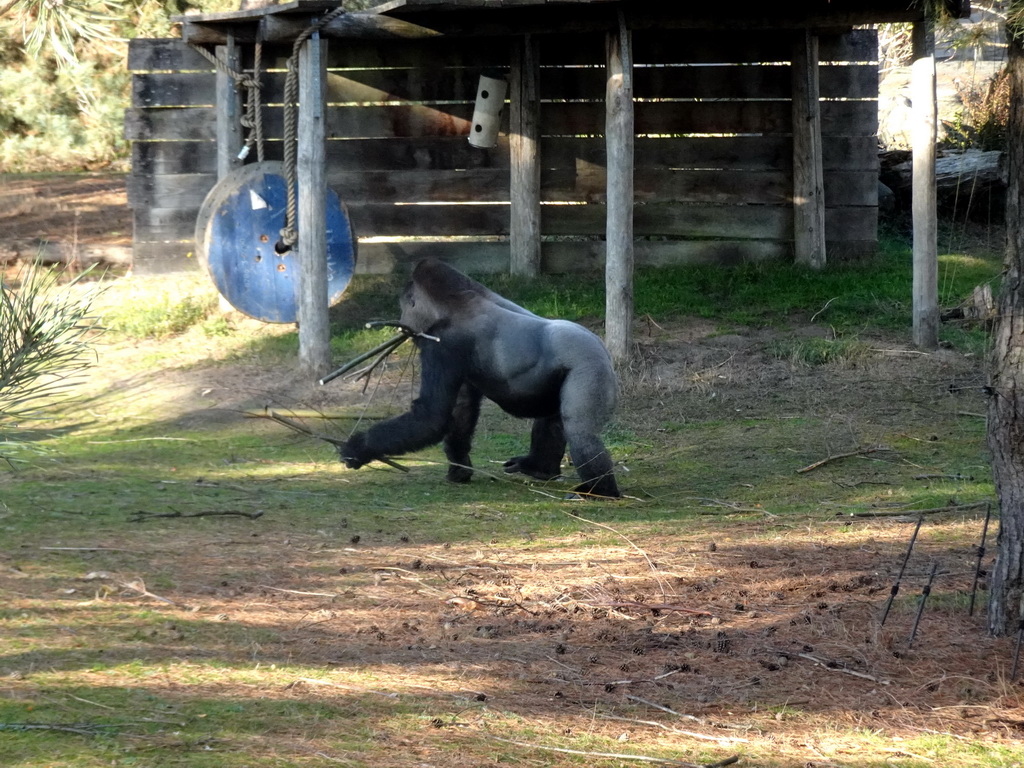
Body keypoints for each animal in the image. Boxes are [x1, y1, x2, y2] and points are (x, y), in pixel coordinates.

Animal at [339, 259, 618, 499]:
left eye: (406, 307)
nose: (401, 322)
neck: (456, 300)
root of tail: (601, 347)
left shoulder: (441, 344)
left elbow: (431, 416)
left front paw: (359, 447)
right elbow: (461, 408)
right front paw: (459, 469)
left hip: (589, 366)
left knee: (581, 432)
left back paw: (599, 491)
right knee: (554, 418)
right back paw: (539, 467)